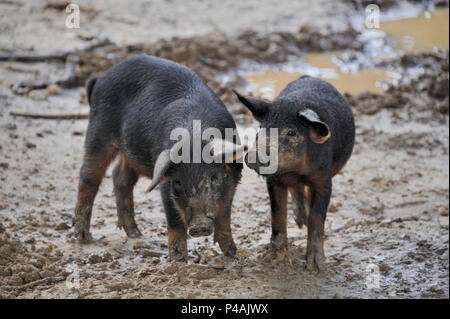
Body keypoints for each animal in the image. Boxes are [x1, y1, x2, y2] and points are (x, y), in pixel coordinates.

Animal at [232, 75, 356, 272]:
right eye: (261, 128)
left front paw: (316, 266)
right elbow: (277, 214)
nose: (253, 154)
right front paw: (273, 257)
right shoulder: (274, 181)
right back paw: (299, 221)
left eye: (291, 132)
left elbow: (317, 218)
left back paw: (302, 222)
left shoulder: (324, 180)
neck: (295, 170)